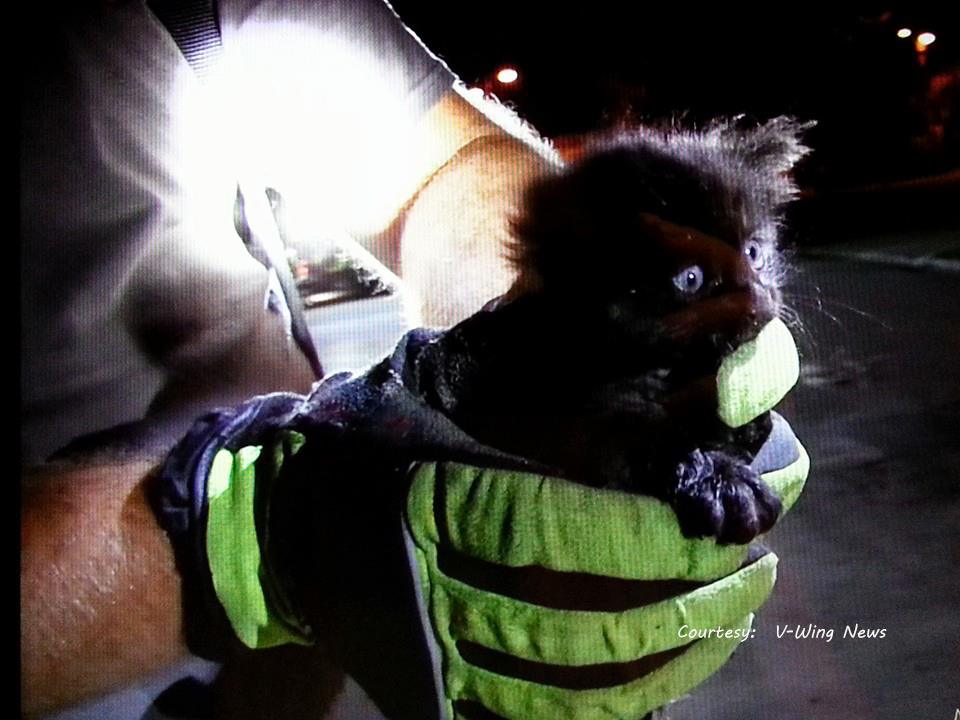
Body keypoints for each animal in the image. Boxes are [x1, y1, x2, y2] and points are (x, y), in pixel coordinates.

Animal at [408, 116, 808, 544]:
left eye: (754, 253)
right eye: (690, 279)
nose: (761, 295)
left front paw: (738, 437)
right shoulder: (509, 395)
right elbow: (626, 426)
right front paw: (722, 481)